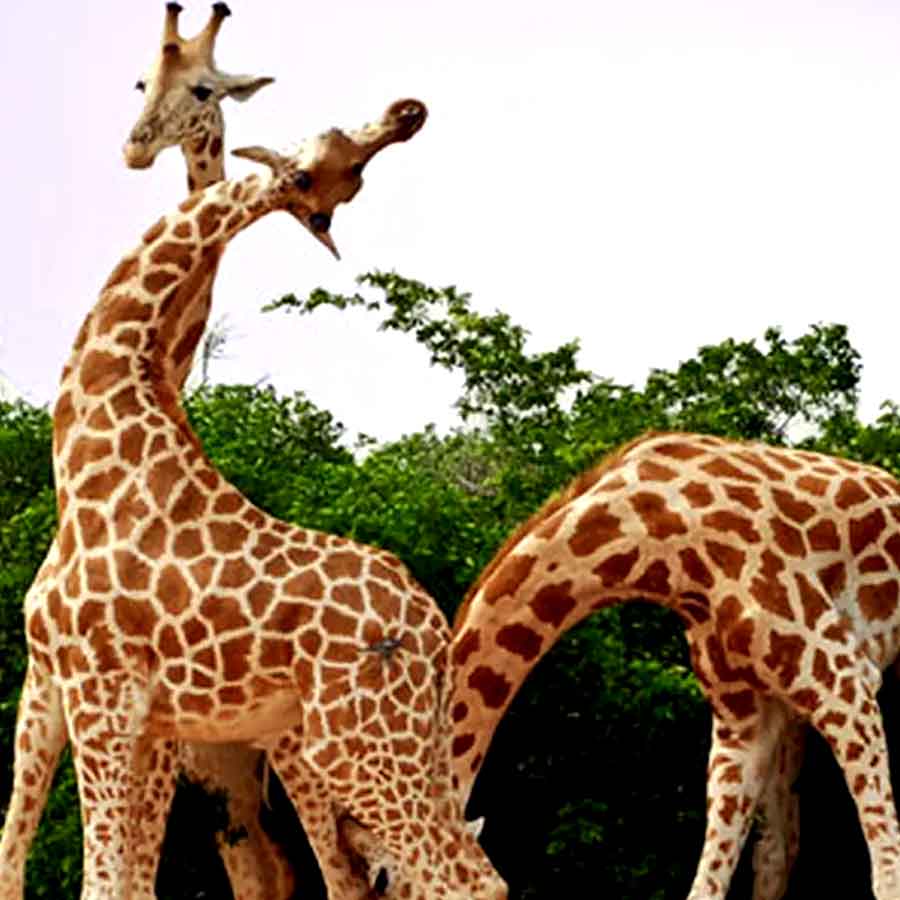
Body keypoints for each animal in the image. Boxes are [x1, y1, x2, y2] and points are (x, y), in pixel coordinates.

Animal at [1, 100, 508, 900]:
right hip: (397, 739)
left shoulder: (101, 694)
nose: (407, 113)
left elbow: (103, 880)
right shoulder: (64, 689)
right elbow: (27, 854)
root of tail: (432, 629)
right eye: (320, 168)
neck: (83, 465)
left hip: (351, 741)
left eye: (343, 175)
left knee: (457, 876)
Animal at [341, 430, 900, 900]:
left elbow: (885, 863)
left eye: (383, 882)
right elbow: (718, 877)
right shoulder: (741, 718)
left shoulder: (841, 678)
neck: (648, 539)